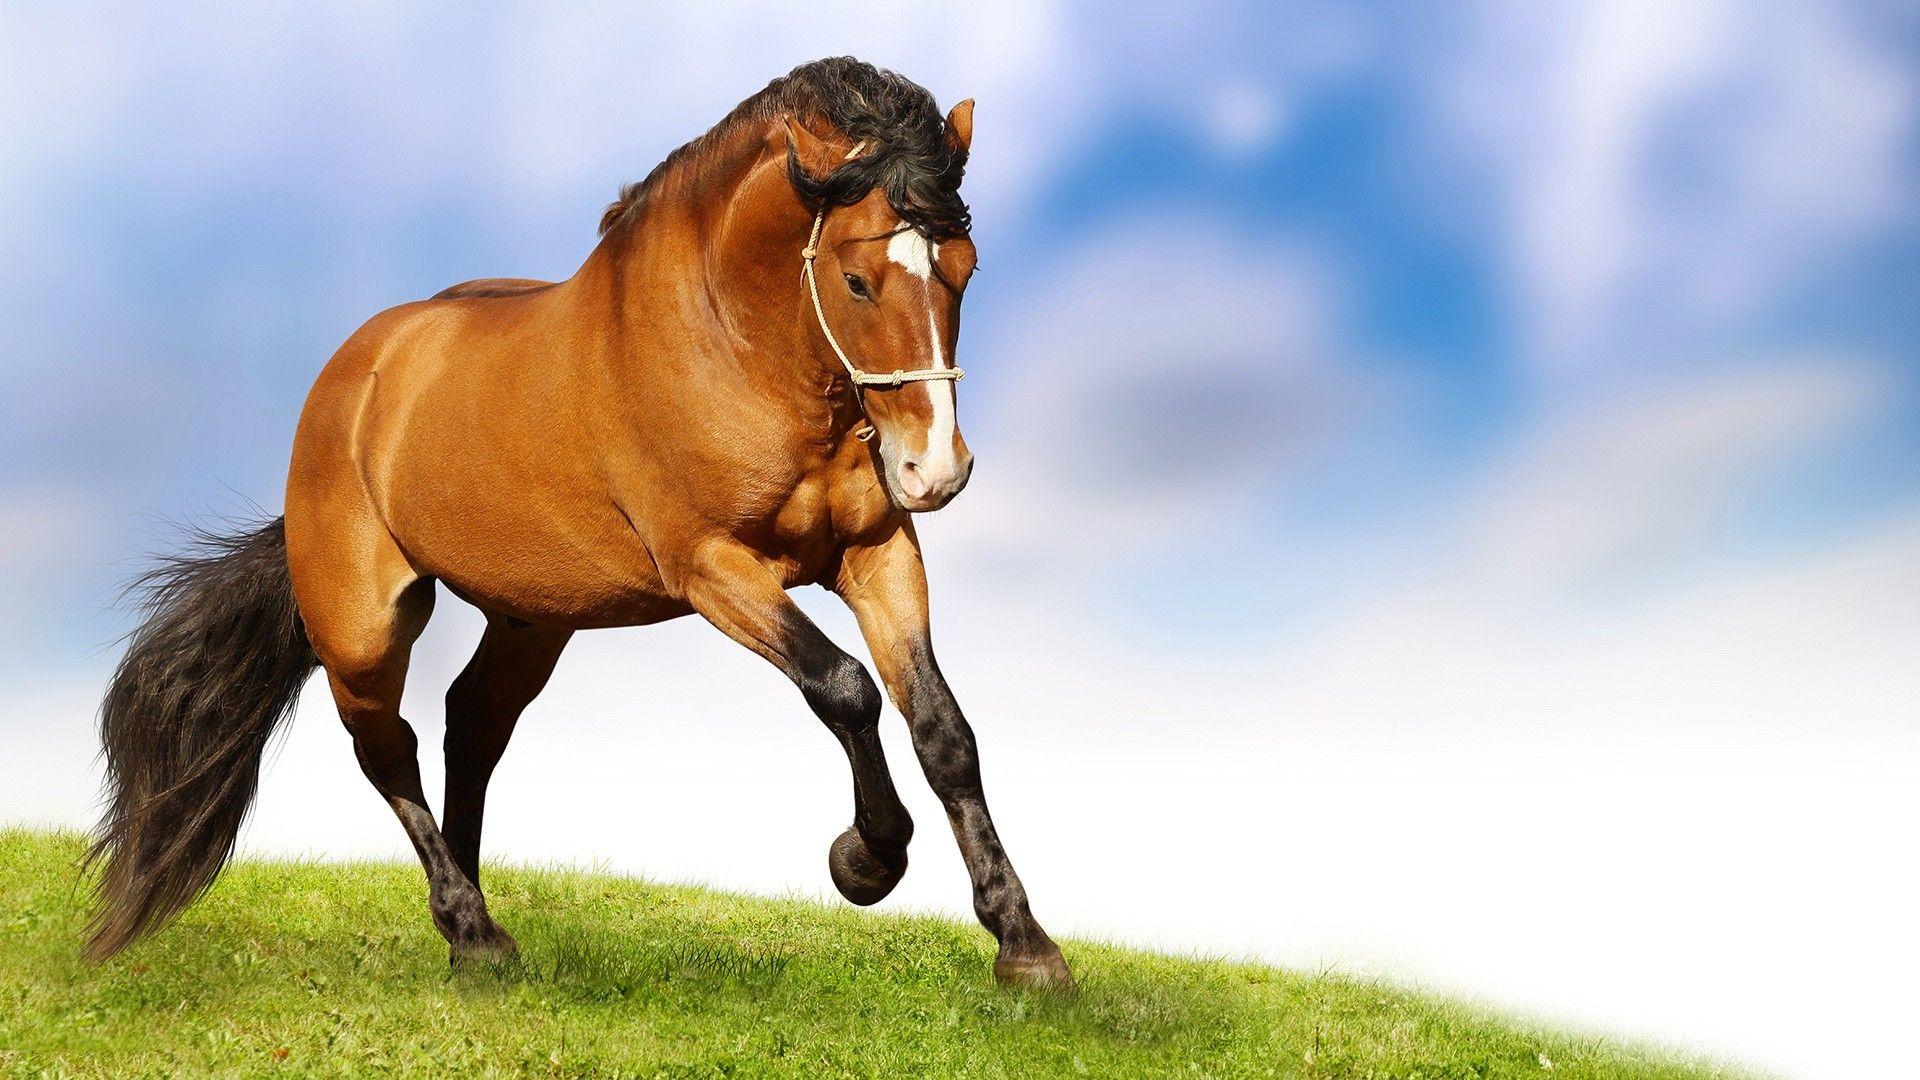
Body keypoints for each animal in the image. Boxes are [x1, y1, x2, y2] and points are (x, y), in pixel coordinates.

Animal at [85, 57, 1072, 991]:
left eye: (965, 269)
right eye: (859, 280)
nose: (935, 470)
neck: (735, 348)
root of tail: (352, 378)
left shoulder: (876, 553)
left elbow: (943, 729)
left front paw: (1026, 949)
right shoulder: (714, 567)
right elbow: (844, 688)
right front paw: (865, 861)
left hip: (531, 616)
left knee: (472, 726)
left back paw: (469, 926)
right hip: (363, 627)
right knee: (387, 749)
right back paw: (474, 934)